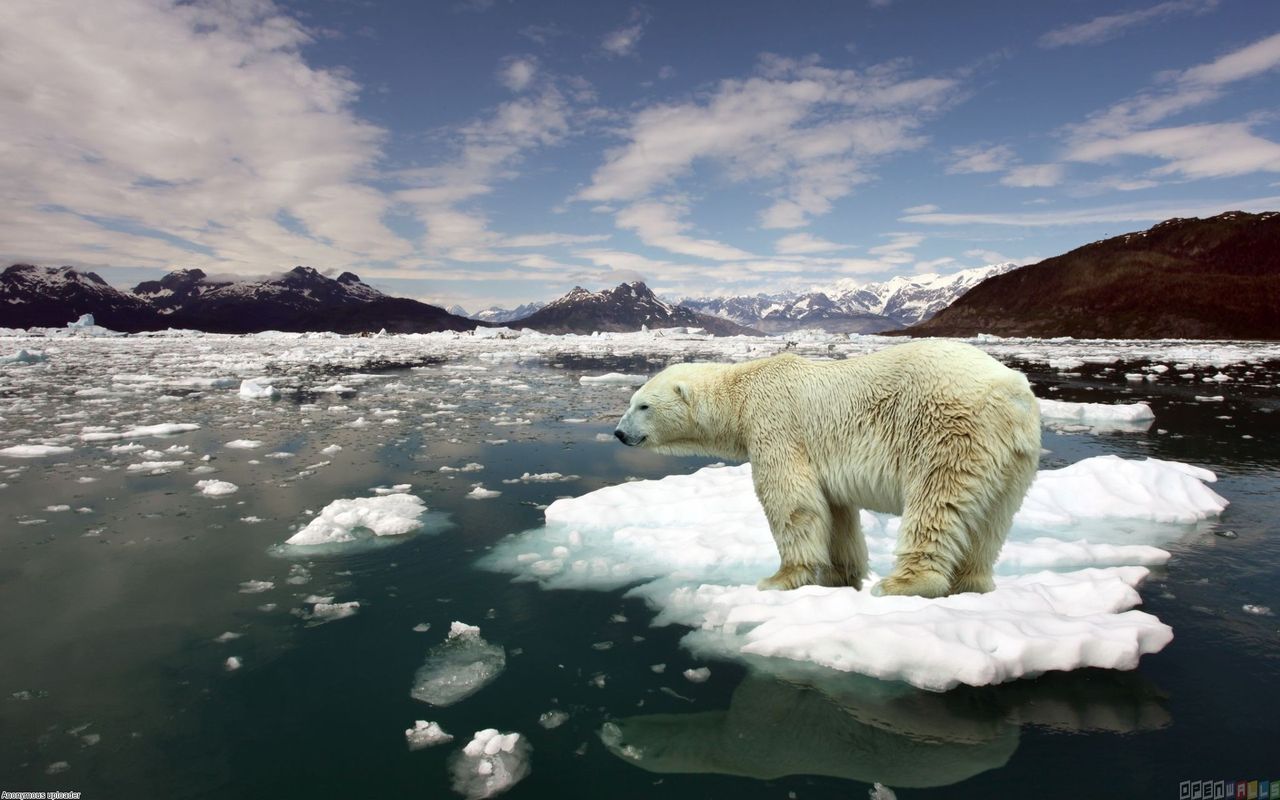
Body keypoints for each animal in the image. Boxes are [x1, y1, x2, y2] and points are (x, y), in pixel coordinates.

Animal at [611, 340, 1039, 596]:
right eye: (631, 401)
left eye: (642, 405)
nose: (618, 433)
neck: (742, 393)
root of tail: (1011, 393)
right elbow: (836, 513)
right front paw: (841, 576)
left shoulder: (775, 424)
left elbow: (791, 501)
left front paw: (779, 579)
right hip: (1013, 459)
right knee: (991, 521)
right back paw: (971, 584)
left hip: (948, 431)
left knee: (936, 503)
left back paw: (902, 584)